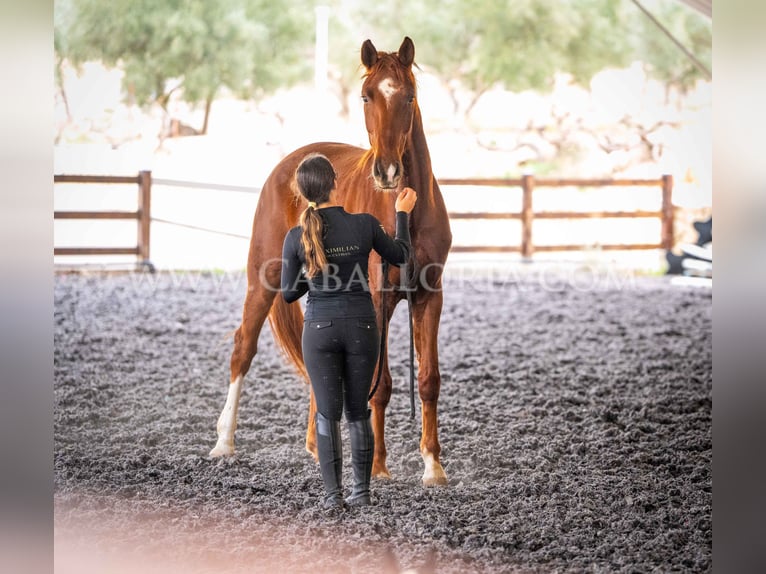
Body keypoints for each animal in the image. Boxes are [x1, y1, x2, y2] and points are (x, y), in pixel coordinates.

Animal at [207, 37, 452, 486]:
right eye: (366, 95)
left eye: (409, 96)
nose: (388, 172)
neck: (404, 213)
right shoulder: (378, 297)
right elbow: (381, 382)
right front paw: (379, 466)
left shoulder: (430, 296)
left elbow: (428, 379)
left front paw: (432, 466)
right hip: (264, 276)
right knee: (243, 347)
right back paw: (224, 442)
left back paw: (312, 443)